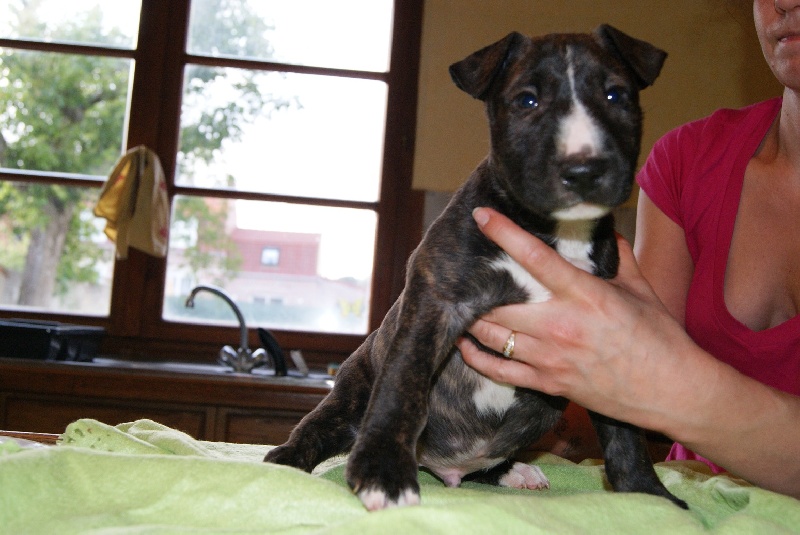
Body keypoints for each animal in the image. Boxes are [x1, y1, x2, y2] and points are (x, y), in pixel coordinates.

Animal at [266, 24, 687, 511]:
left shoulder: (600, 339)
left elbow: (624, 431)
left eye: (616, 94)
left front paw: (647, 494)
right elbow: (402, 390)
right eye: (526, 101)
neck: (554, 232)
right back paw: (284, 462)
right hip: (349, 395)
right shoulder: (436, 303)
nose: (583, 168)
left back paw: (514, 471)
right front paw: (383, 475)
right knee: (316, 432)